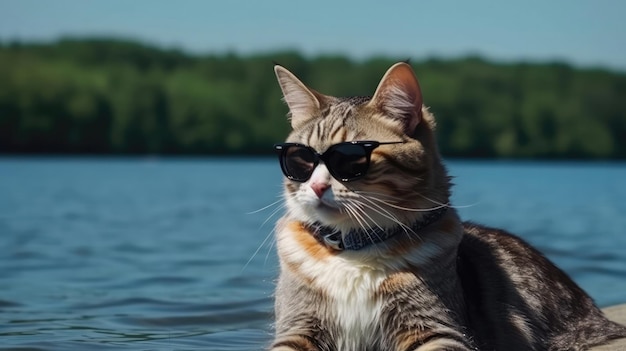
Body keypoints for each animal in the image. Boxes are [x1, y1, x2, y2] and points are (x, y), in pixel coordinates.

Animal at [266, 62, 624, 350]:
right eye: (301, 160)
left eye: (350, 160)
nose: (317, 186)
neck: (354, 248)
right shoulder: (298, 327)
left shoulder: (437, 329)